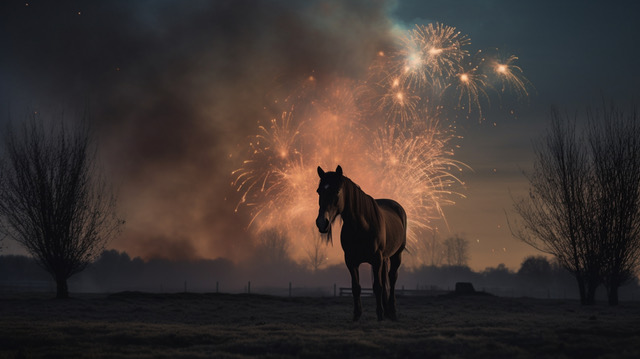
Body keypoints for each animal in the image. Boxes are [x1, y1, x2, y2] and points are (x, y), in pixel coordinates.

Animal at [314, 165, 404, 322]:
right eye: (319, 191)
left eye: (337, 191)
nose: (321, 222)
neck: (362, 226)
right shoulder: (351, 260)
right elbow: (356, 287)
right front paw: (357, 314)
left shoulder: (376, 259)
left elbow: (377, 287)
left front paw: (379, 315)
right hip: (384, 259)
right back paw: (387, 311)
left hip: (396, 255)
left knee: (392, 279)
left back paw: (391, 312)